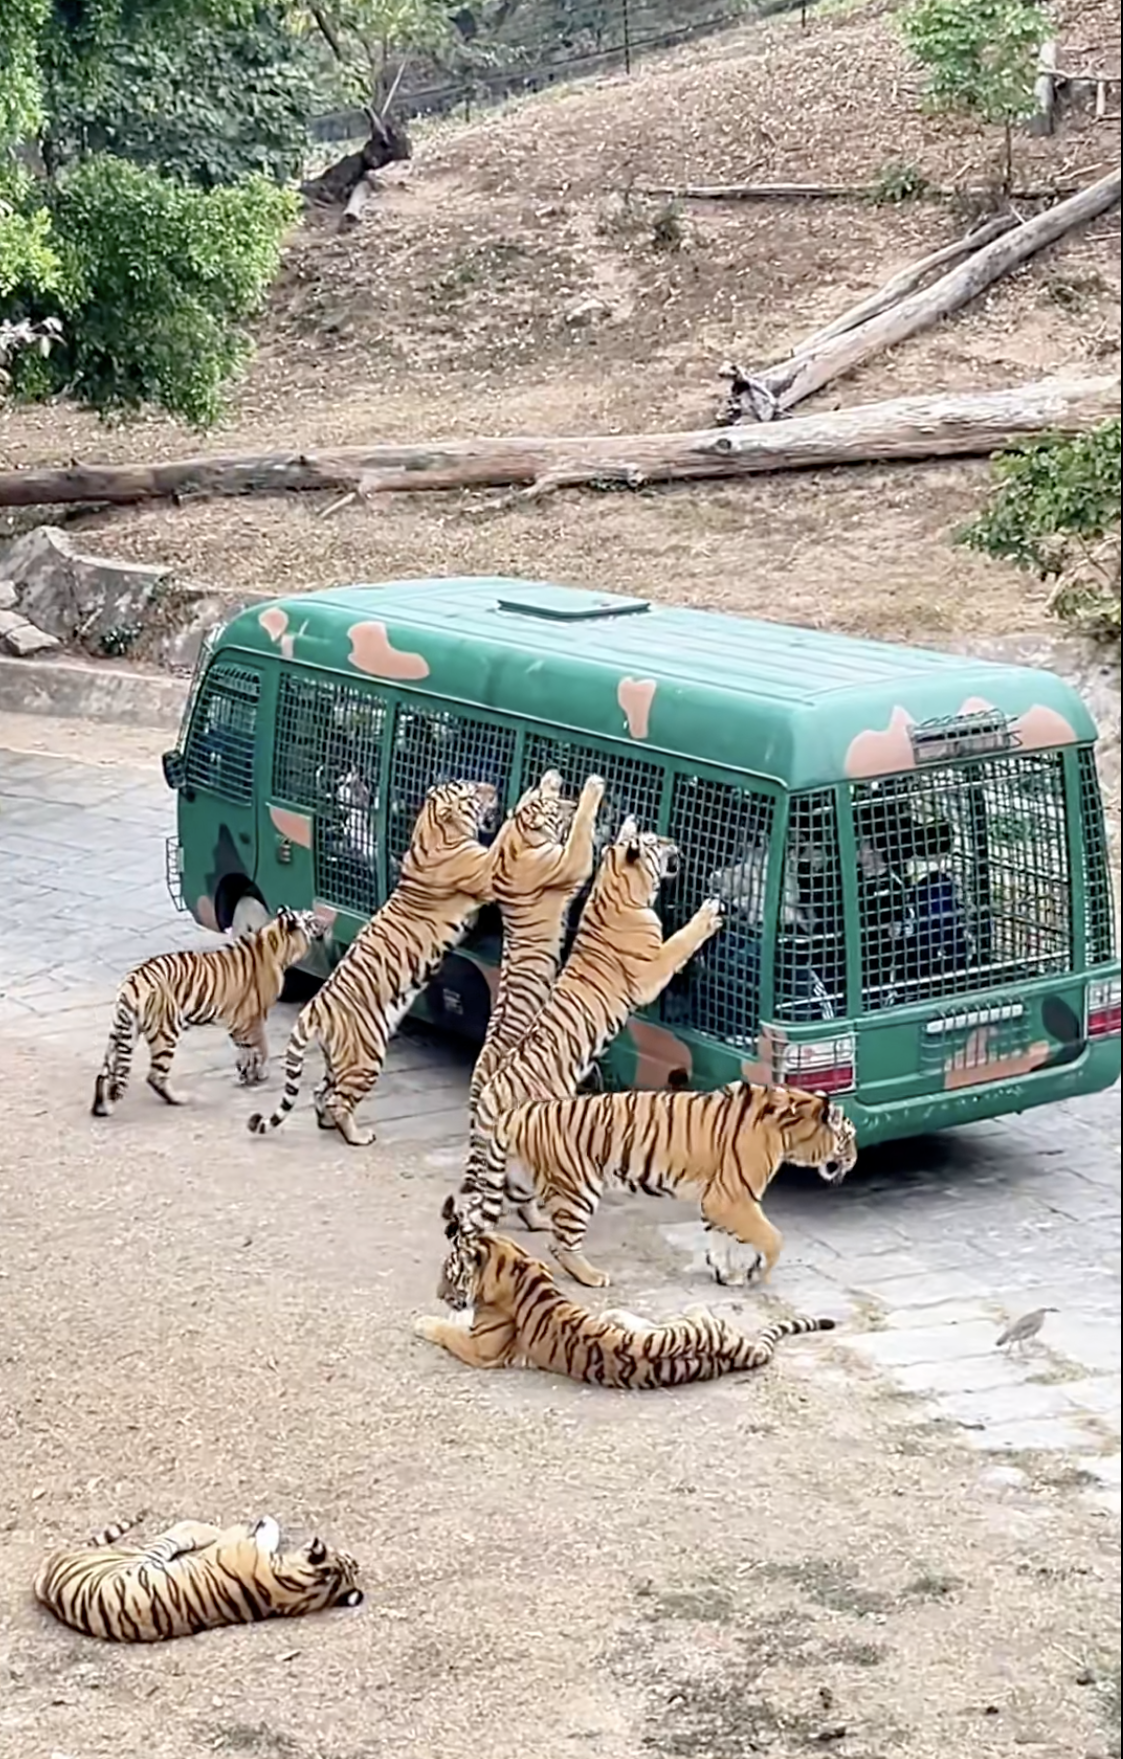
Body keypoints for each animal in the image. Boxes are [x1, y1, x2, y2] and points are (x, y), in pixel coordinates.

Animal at [92, 905, 326, 1116]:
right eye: (311, 918)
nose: (326, 922)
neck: (277, 942)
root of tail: (132, 981)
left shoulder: (238, 1021)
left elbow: (245, 1049)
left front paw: (246, 1073)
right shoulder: (254, 1017)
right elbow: (261, 1048)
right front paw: (260, 1074)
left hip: (122, 1031)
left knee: (105, 1073)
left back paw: (101, 1107)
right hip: (166, 1030)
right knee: (155, 1076)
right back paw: (179, 1099)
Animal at [248, 779, 498, 1147]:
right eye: (472, 791)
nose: (492, 789)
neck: (430, 828)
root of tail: (314, 1008)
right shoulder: (484, 871)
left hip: (337, 1060)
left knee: (320, 1093)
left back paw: (327, 1123)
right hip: (366, 1056)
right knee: (338, 1100)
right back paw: (358, 1136)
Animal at [416, 1198, 835, 1389]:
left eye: (448, 1274)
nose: (437, 1293)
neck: (511, 1263)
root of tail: (741, 1351)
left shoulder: (480, 1349)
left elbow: (447, 1330)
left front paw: (425, 1319)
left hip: (692, 1328)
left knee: (698, 1310)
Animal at [455, 819, 725, 1235]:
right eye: (654, 842)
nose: (675, 842)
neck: (616, 884)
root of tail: (488, 1099)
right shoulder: (650, 973)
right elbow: (680, 942)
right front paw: (708, 914)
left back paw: (536, 1221)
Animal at [493, 1080, 859, 1290]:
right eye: (849, 1137)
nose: (855, 1160)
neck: (789, 1130)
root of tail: (518, 1112)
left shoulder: (717, 1200)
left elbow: (721, 1240)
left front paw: (726, 1274)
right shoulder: (733, 1197)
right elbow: (773, 1238)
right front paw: (756, 1273)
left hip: (518, 1183)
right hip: (577, 1190)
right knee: (562, 1244)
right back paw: (592, 1277)